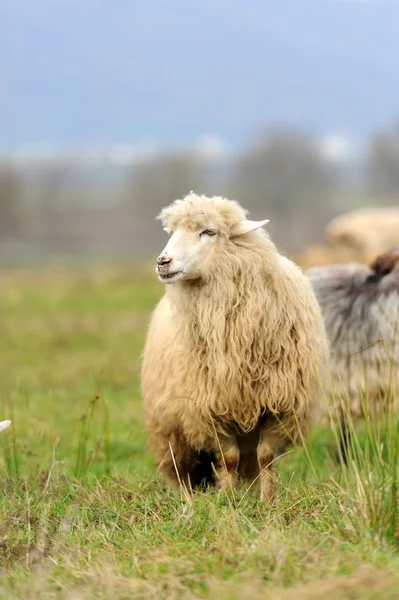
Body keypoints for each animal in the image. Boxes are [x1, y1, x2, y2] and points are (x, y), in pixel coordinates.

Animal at [142, 192, 330, 502]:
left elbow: (265, 457)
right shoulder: (209, 408)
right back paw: (188, 498)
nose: (163, 262)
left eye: (209, 231)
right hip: (170, 427)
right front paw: (228, 501)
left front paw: (267, 502)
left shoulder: (280, 405)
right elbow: (229, 459)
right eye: (172, 232)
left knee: (250, 459)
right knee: (182, 468)